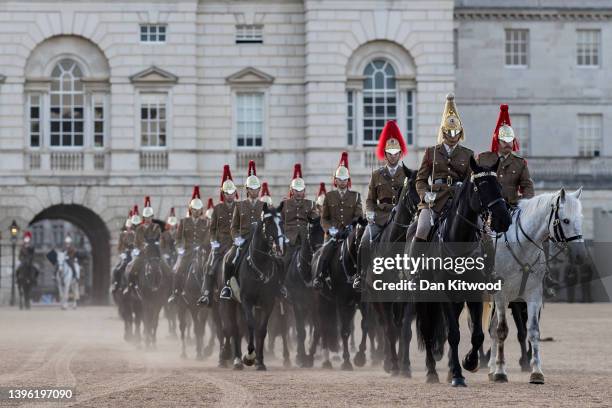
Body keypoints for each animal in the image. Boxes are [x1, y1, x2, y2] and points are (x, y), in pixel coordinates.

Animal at [239, 203, 286, 370]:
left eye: (281, 222)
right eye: (268, 223)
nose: (280, 248)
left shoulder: (268, 302)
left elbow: (262, 329)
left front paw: (260, 361)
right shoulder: (246, 300)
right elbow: (250, 325)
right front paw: (249, 355)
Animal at [284, 215, 326, 368]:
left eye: (323, 232)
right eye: (311, 233)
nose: (321, 252)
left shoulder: (315, 305)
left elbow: (317, 330)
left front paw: (310, 357)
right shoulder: (298, 304)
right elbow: (301, 331)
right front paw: (302, 357)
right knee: (285, 329)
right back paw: (288, 357)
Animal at [416, 158, 512, 388]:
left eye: (499, 185)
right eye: (480, 187)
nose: (504, 219)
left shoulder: (474, 292)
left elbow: (477, 334)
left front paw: (469, 362)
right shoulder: (443, 294)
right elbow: (453, 334)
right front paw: (459, 375)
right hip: (423, 297)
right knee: (428, 330)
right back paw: (432, 372)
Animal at [490, 186, 584, 384]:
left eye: (580, 218)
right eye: (565, 220)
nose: (580, 255)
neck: (521, 247)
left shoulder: (533, 295)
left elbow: (533, 331)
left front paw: (537, 372)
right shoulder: (501, 295)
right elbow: (502, 330)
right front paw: (501, 372)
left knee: (491, 328)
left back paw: (490, 368)